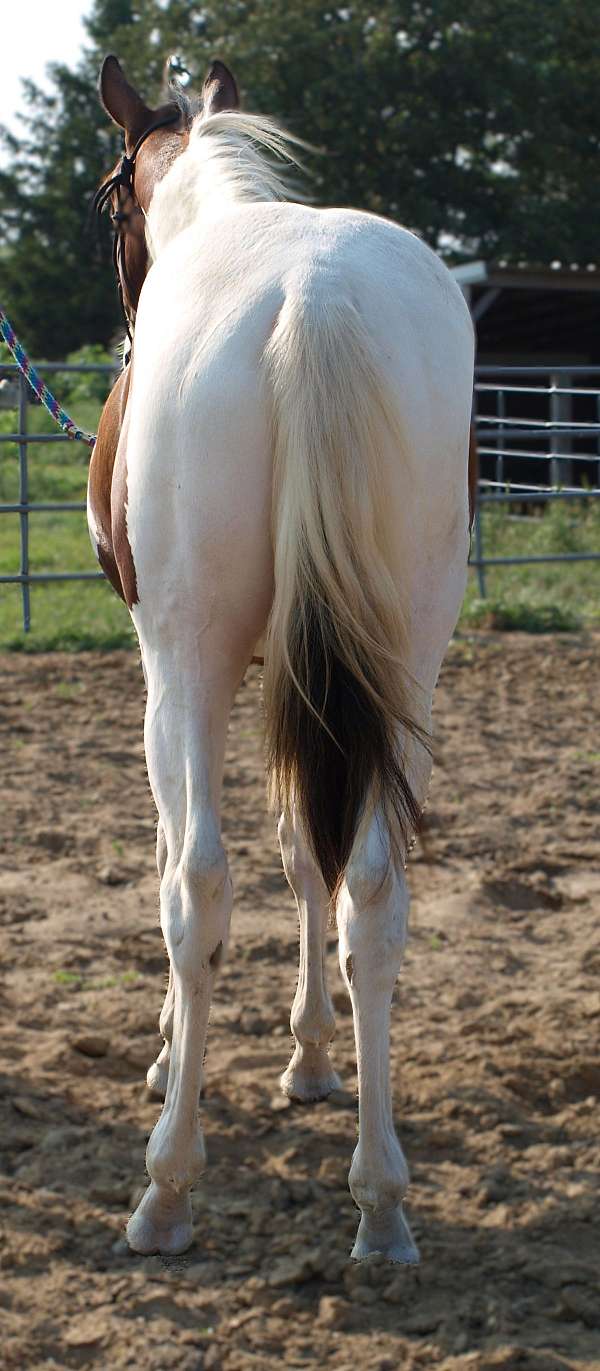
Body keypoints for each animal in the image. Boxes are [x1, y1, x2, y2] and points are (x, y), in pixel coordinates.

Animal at [91, 54, 475, 1262]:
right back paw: (381, 1200)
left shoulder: (167, 674)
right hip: (404, 666)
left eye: (110, 199)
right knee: (374, 895)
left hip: (193, 661)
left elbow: (185, 855)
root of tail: (315, 298)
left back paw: (167, 1189)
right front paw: (308, 1058)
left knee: (198, 888)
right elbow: (308, 848)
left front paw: (171, 1051)